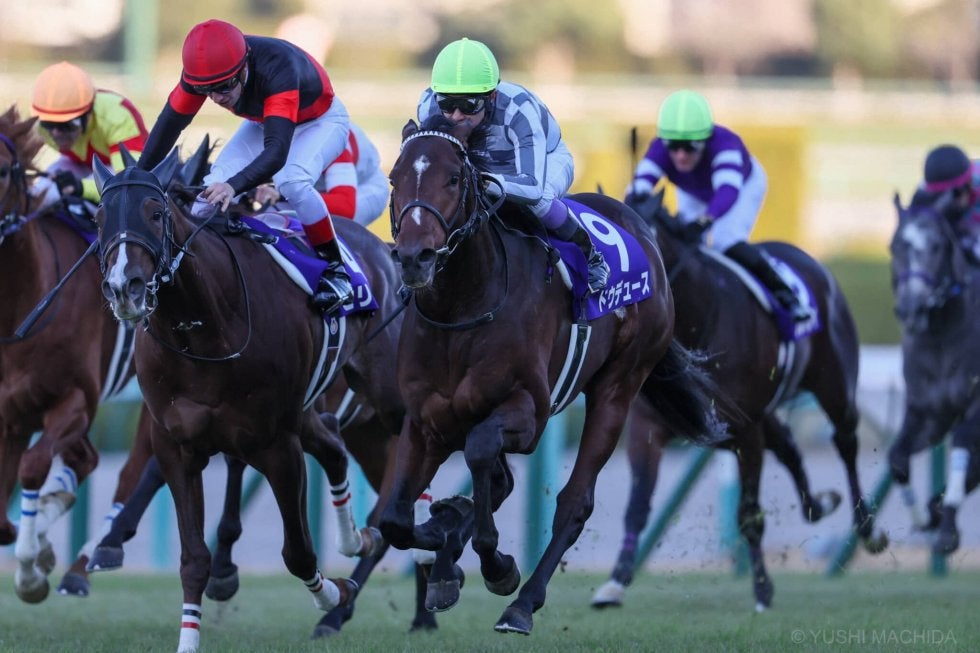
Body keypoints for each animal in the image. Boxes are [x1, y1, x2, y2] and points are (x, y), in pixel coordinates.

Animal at [0, 104, 157, 604]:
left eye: (4, 169)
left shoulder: (75, 400)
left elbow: (32, 467)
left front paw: (31, 572)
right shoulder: (11, 414)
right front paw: (35, 547)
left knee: (132, 472)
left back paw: (85, 563)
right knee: (86, 460)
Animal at [92, 148, 406, 653]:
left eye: (156, 213)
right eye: (100, 218)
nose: (125, 287)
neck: (203, 327)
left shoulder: (274, 445)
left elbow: (298, 553)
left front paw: (333, 593)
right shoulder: (179, 445)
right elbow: (193, 558)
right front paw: (189, 637)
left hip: (386, 396)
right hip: (319, 415)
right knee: (335, 447)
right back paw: (358, 540)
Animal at [379, 116, 726, 636]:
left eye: (454, 179)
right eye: (394, 178)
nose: (414, 257)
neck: (463, 307)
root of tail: (642, 234)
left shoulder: (527, 414)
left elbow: (481, 454)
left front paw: (496, 565)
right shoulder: (426, 422)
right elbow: (395, 521)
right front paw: (445, 541)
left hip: (618, 388)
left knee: (574, 502)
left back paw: (522, 604)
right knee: (497, 485)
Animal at [591, 190, 887, 611]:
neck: (700, 321)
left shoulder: (745, 432)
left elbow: (749, 515)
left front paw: (762, 589)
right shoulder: (648, 427)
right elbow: (637, 507)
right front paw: (615, 582)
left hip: (834, 387)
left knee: (845, 442)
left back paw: (867, 527)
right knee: (789, 446)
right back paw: (818, 504)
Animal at [887, 194, 980, 555]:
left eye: (937, 246)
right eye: (894, 246)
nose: (910, 308)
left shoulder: (975, 409)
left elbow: (963, 450)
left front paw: (947, 530)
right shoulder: (929, 413)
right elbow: (897, 459)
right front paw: (926, 517)